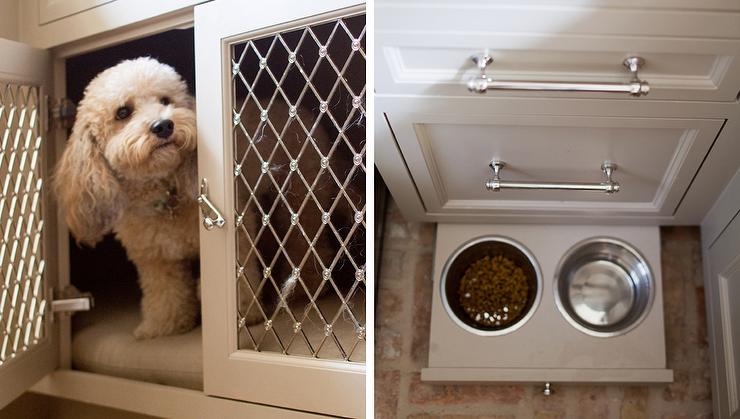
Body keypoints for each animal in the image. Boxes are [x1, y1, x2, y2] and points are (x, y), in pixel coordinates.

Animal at [55, 57, 199, 340]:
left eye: (165, 100)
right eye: (123, 112)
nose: (163, 125)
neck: (163, 197)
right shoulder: (156, 259)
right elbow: (166, 294)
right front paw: (165, 326)